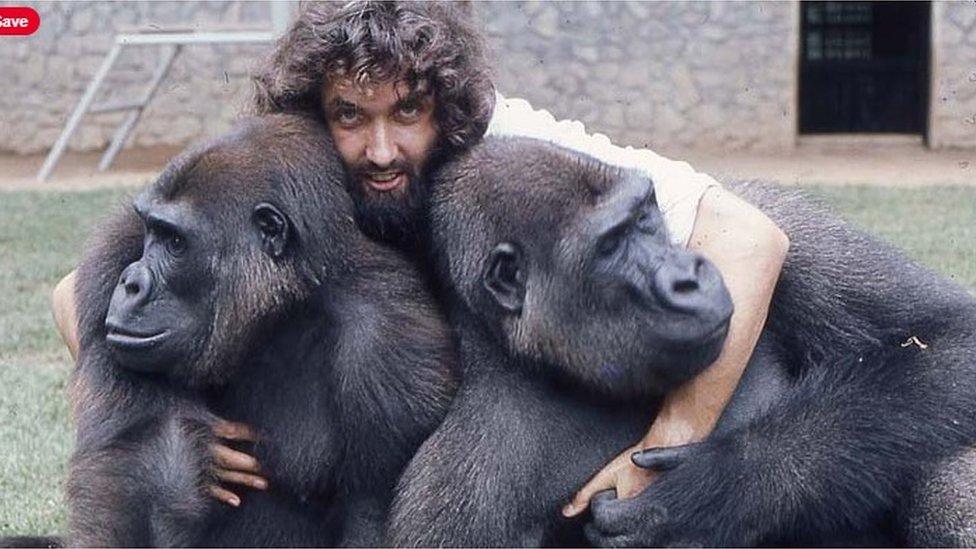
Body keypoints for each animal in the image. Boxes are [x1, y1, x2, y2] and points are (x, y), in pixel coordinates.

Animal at [68, 113, 458, 544]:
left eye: (175, 242)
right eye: (151, 231)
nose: (131, 282)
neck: (282, 310)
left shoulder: (391, 350)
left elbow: (369, 509)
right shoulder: (114, 254)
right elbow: (144, 473)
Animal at [386, 136, 976, 544]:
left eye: (647, 216)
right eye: (611, 246)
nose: (688, 274)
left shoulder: (777, 225)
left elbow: (948, 338)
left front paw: (711, 488)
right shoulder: (460, 496)